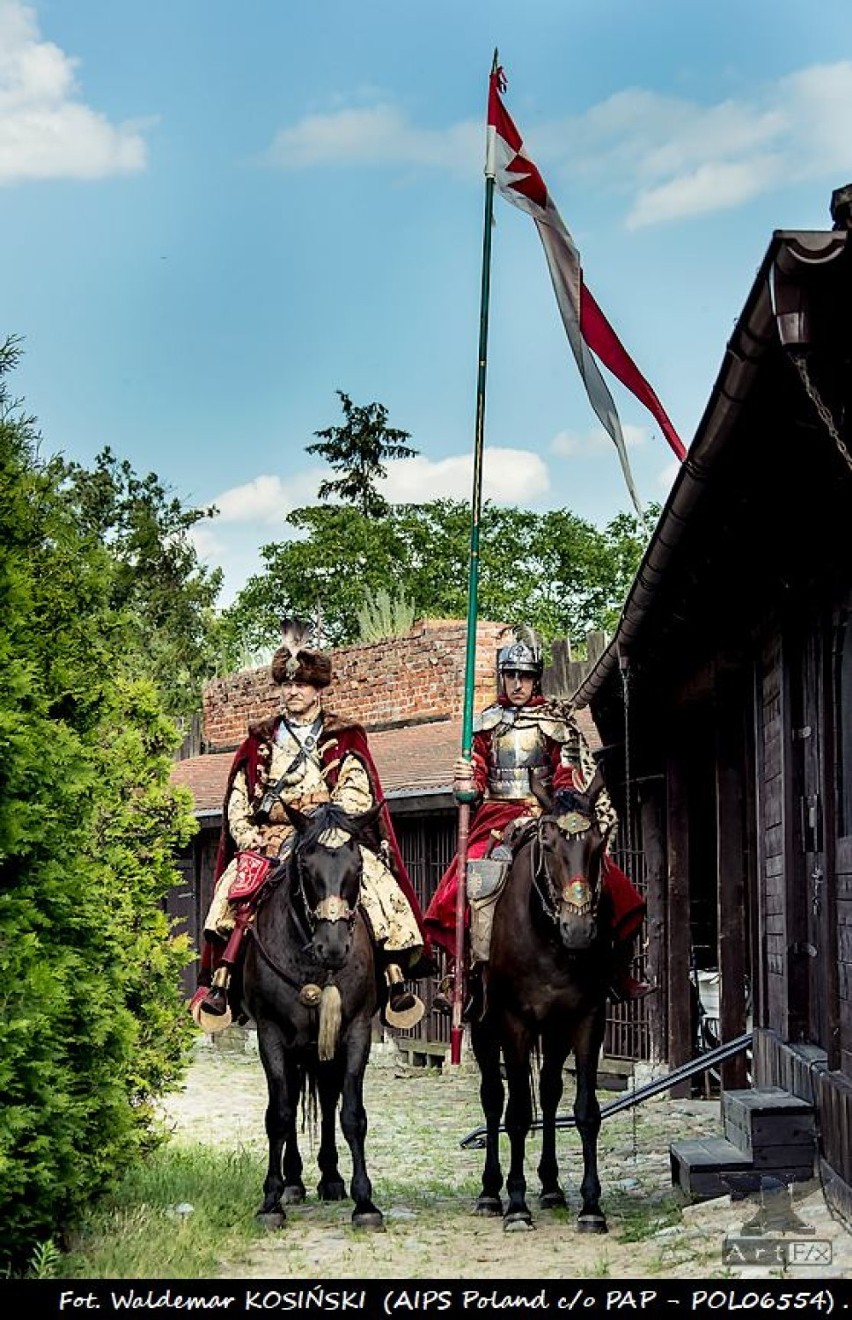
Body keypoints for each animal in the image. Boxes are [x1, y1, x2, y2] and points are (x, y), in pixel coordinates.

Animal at [240, 797, 383, 1230]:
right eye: (306, 865)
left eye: (358, 865)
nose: (333, 947)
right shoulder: (270, 1033)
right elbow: (279, 1114)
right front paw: (271, 1201)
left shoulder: (355, 1031)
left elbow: (351, 1114)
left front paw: (365, 1203)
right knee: (291, 1099)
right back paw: (292, 1182)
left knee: (329, 1099)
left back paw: (331, 1178)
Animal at [467, 792, 615, 1235]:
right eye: (548, 845)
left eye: (598, 844)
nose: (578, 931)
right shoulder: (513, 1022)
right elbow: (515, 1113)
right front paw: (516, 1205)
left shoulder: (586, 1019)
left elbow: (585, 1111)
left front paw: (591, 1207)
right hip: (484, 1028)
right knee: (493, 1098)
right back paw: (490, 1193)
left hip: (554, 1031)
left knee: (549, 1092)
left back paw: (550, 1187)